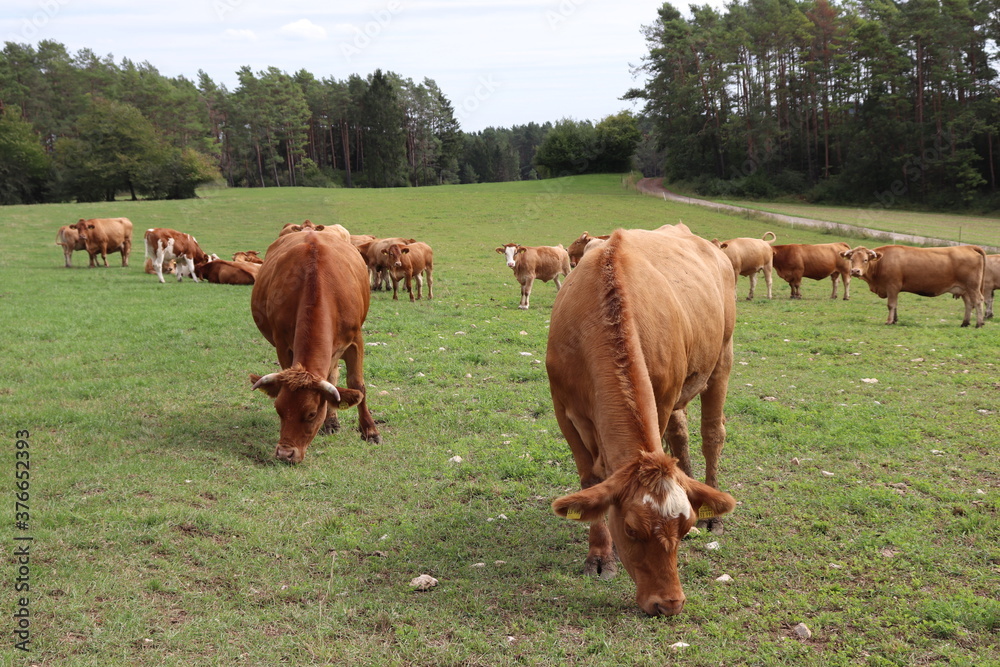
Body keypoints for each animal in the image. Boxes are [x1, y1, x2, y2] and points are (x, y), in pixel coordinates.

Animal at [249, 227, 378, 462]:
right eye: (279, 410)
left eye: (311, 413)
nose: (285, 453)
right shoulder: (282, 344)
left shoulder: (355, 340)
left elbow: (357, 384)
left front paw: (370, 431)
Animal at [544, 227, 740, 620]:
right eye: (631, 530)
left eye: (684, 527)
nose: (669, 602)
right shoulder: (563, 410)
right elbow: (591, 480)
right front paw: (600, 555)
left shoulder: (661, 398)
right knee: (681, 435)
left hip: (721, 358)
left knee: (712, 434)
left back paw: (713, 508)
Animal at [840, 245, 988, 328]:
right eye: (852, 259)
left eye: (865, 260)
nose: (855, 271)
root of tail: (968, 247)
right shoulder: (894, 289)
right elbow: (895, 305)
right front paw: (895, 320)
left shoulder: (892, 286)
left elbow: (891, 305)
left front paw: (889, 321)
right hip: (964, 289)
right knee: (968, 303)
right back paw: (965, 323)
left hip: (973, 287)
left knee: (978, 301)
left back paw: (979, 323)